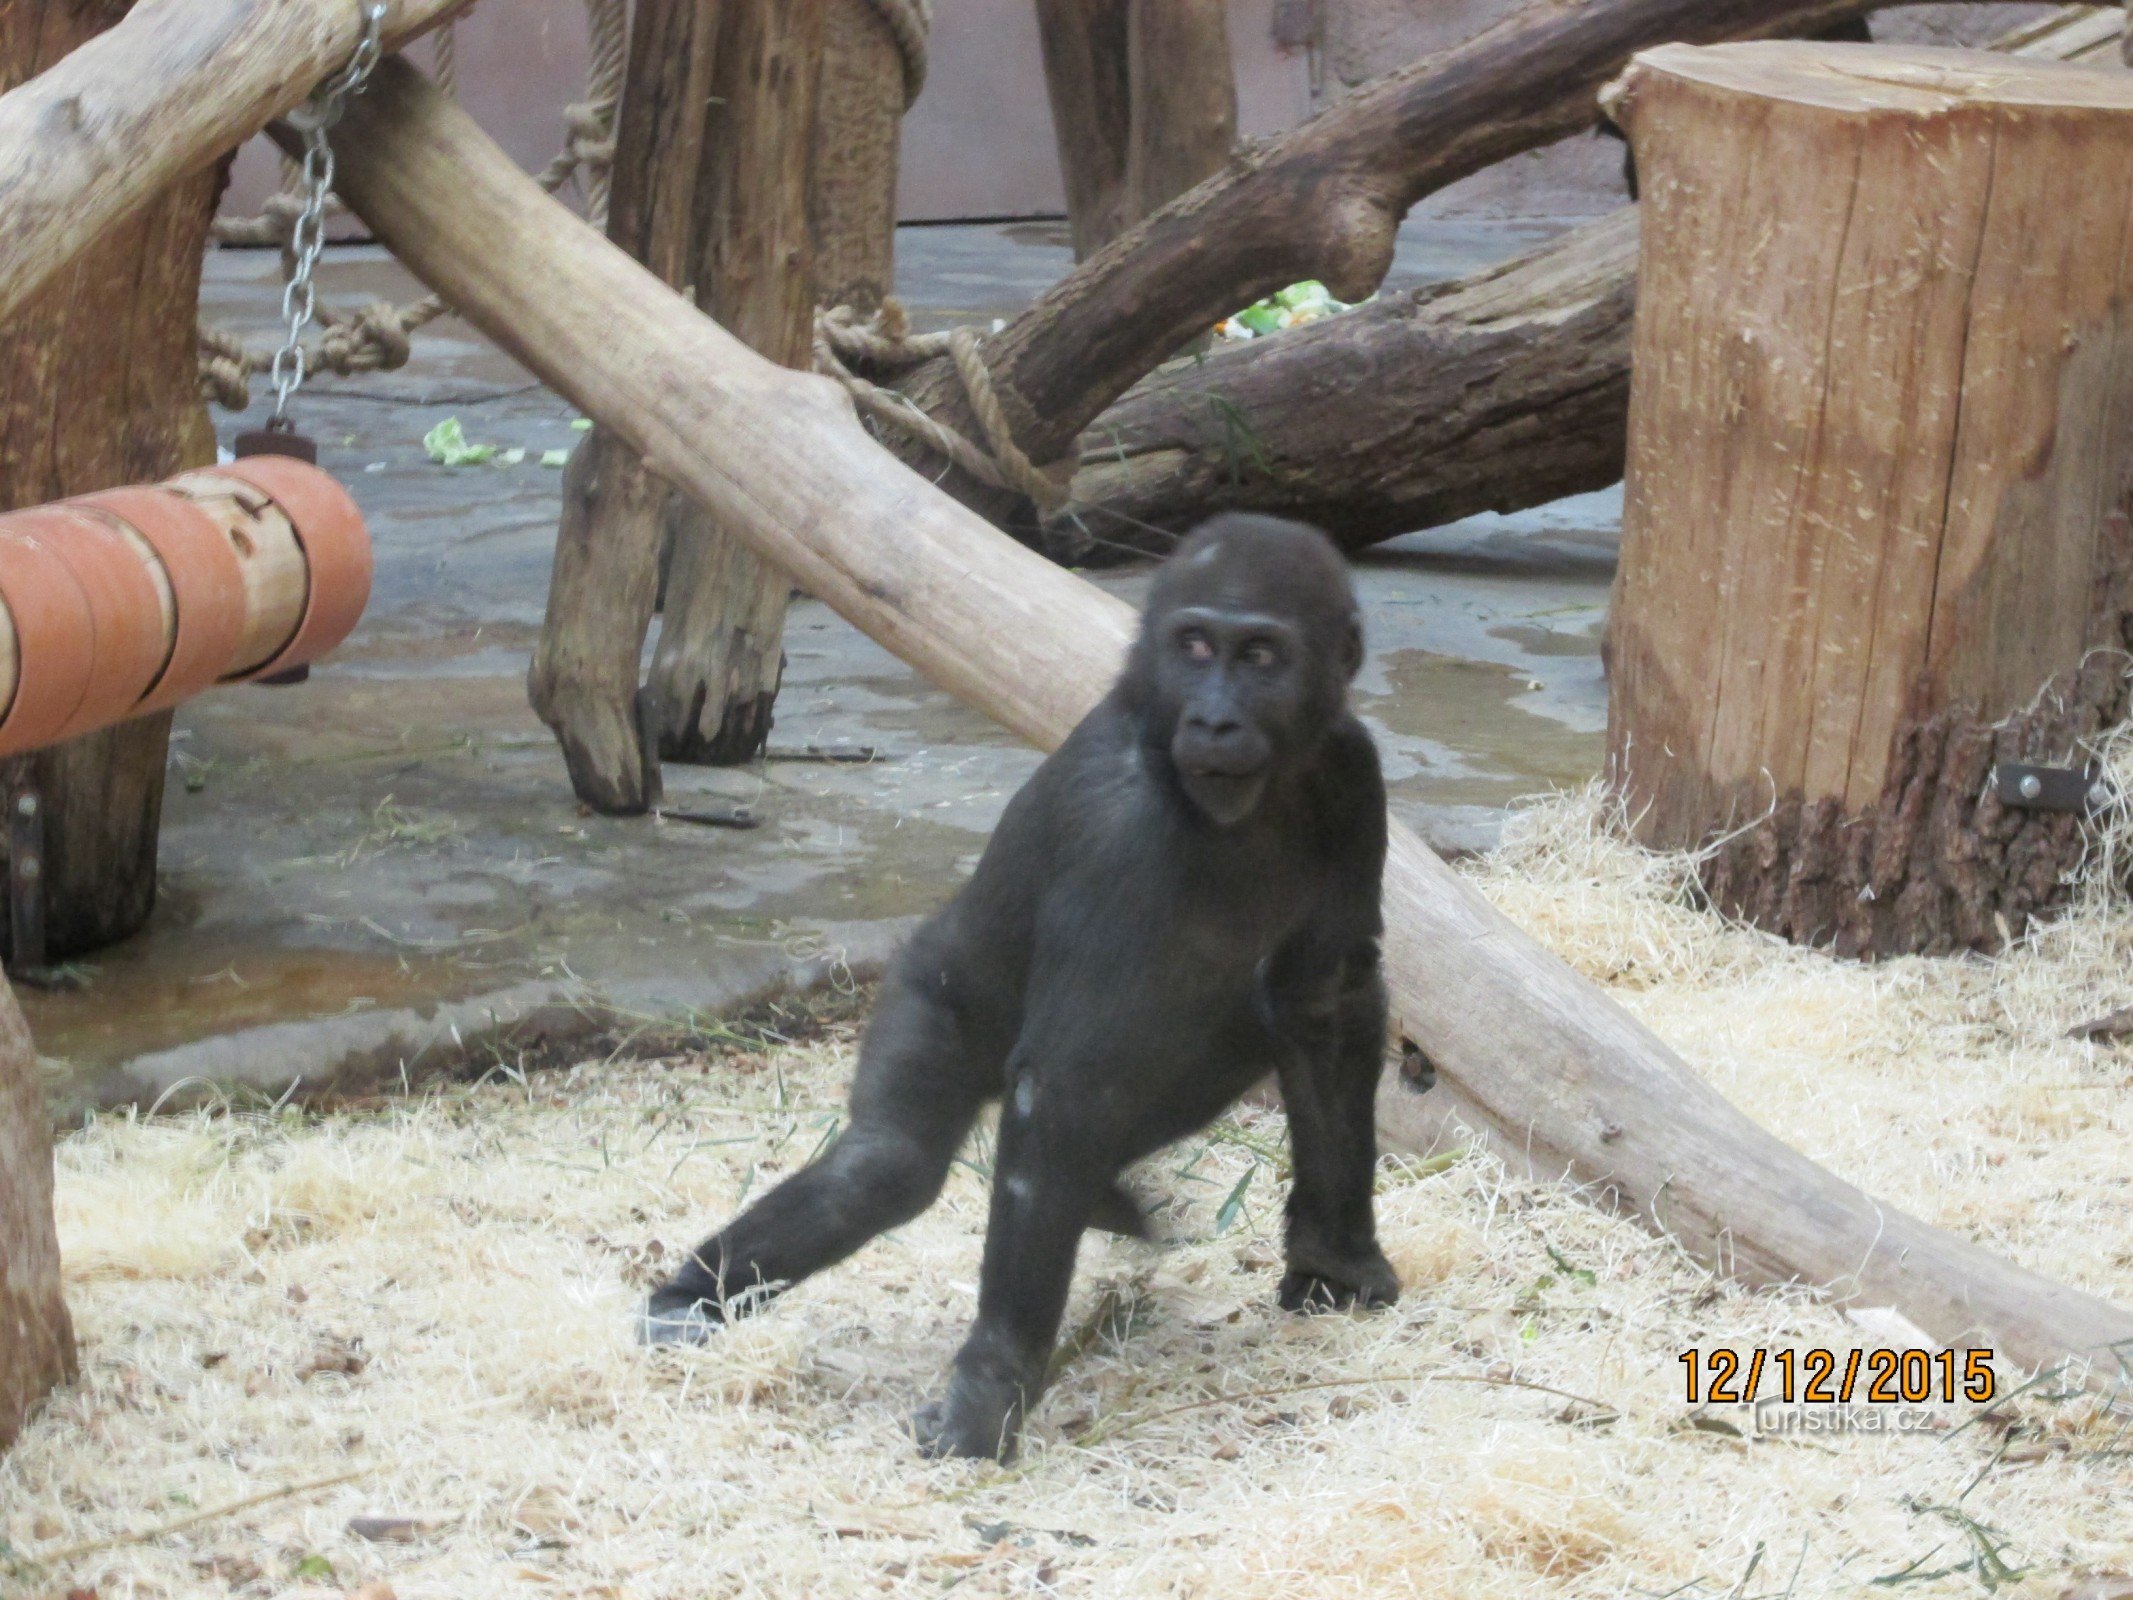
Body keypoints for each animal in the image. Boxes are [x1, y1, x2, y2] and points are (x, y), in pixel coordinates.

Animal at [639, 516, 1390, 1467]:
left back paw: (1106, 1198)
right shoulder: (1118, 824)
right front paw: (992, 1382)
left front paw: (1337, 1259)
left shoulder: (1351, 767)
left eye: (1260, 654)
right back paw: (688, 1297)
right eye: (1192, 645)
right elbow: (1068, 1089)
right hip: (927, 991)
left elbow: (1324, 1003)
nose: (1215, 718)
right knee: (884, 1167)